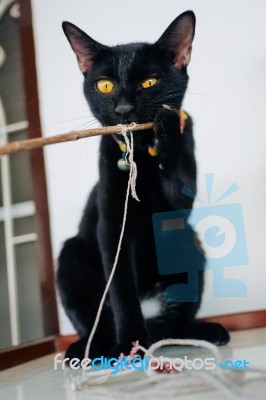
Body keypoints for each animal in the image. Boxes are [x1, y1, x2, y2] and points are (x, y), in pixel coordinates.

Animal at [57, 10, 230, 360]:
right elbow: (122, 289)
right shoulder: (112, 226)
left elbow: (178, 183)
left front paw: (167, 127)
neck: (142, 153)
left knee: (175, 325)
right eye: (105, 85)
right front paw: (130, 343)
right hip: (69, 256)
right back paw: (87, 348)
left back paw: (204, 331)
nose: (124, 109)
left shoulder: (179, 204)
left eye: (149, 81)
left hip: (190, 241)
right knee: (95, 322)